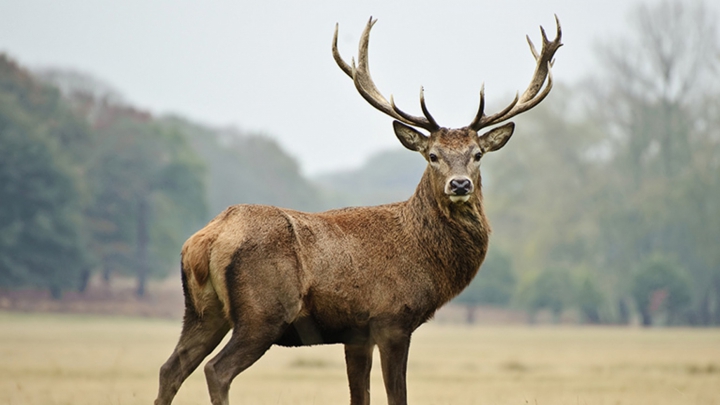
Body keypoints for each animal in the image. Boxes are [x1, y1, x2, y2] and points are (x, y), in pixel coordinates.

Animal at [156, 15, 564, 404]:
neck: (423, 255)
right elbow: (397, 396)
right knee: (216, 370)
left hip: (203, 312)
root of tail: (205, 240)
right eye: (432, 155)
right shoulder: (392, 319)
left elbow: (359, 396)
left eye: (477, 154)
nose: (460, 184)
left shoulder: (355, 334)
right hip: (263, 312)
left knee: (170, 368)